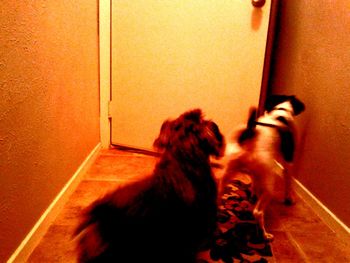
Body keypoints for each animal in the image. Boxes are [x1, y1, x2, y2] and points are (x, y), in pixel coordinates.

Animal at [220, 96, 304, 242]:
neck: (281, 111)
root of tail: (250, 137)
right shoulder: (288, 162)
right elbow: (288, 182)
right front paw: (289, 198)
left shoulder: (257, 174)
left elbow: (254, 184)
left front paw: (253, 194)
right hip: (270, 186)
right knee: (258, 212)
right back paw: (265, 235)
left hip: (228, 173)